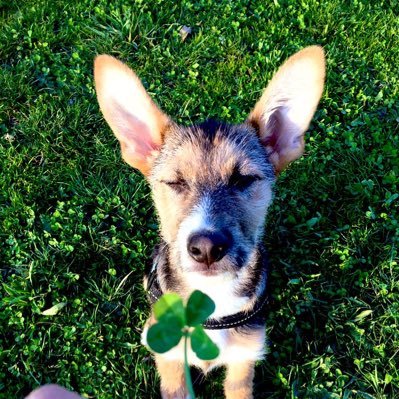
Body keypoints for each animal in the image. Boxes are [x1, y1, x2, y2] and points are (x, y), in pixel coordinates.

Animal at [94, 45, 324, 398]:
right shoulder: (171, 362)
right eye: (174, 182)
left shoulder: (244, 361)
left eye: (244, 179)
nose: (206, 248)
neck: (211, 302)